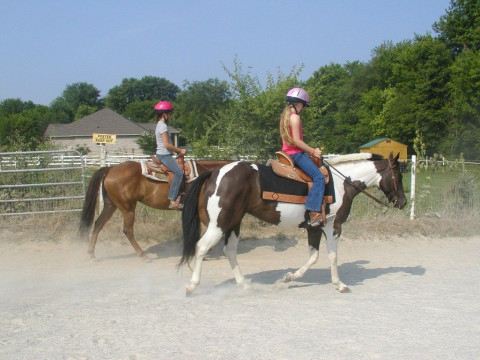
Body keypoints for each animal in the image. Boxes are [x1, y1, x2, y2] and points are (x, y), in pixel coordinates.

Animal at [79, 158, 232, 258]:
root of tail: (110, 169)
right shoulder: (201, 210)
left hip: (111, 205)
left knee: (98, 223)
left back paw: (91, 253)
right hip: (128, 208)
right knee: (127, 230)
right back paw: (142, 255)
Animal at [179, 152, 404, 296]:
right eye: (399, 176)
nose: (402, 202)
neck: (341, 185)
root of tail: (215, 172)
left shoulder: (314, 227)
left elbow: (314, 256)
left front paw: (289, 277)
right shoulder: (333, 226)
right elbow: (332, 256)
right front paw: (339, 284)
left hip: (233, 223)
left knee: (230, 251)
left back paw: (245, 286)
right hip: (219, 224)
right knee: (202, 247)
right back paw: (191, 286)